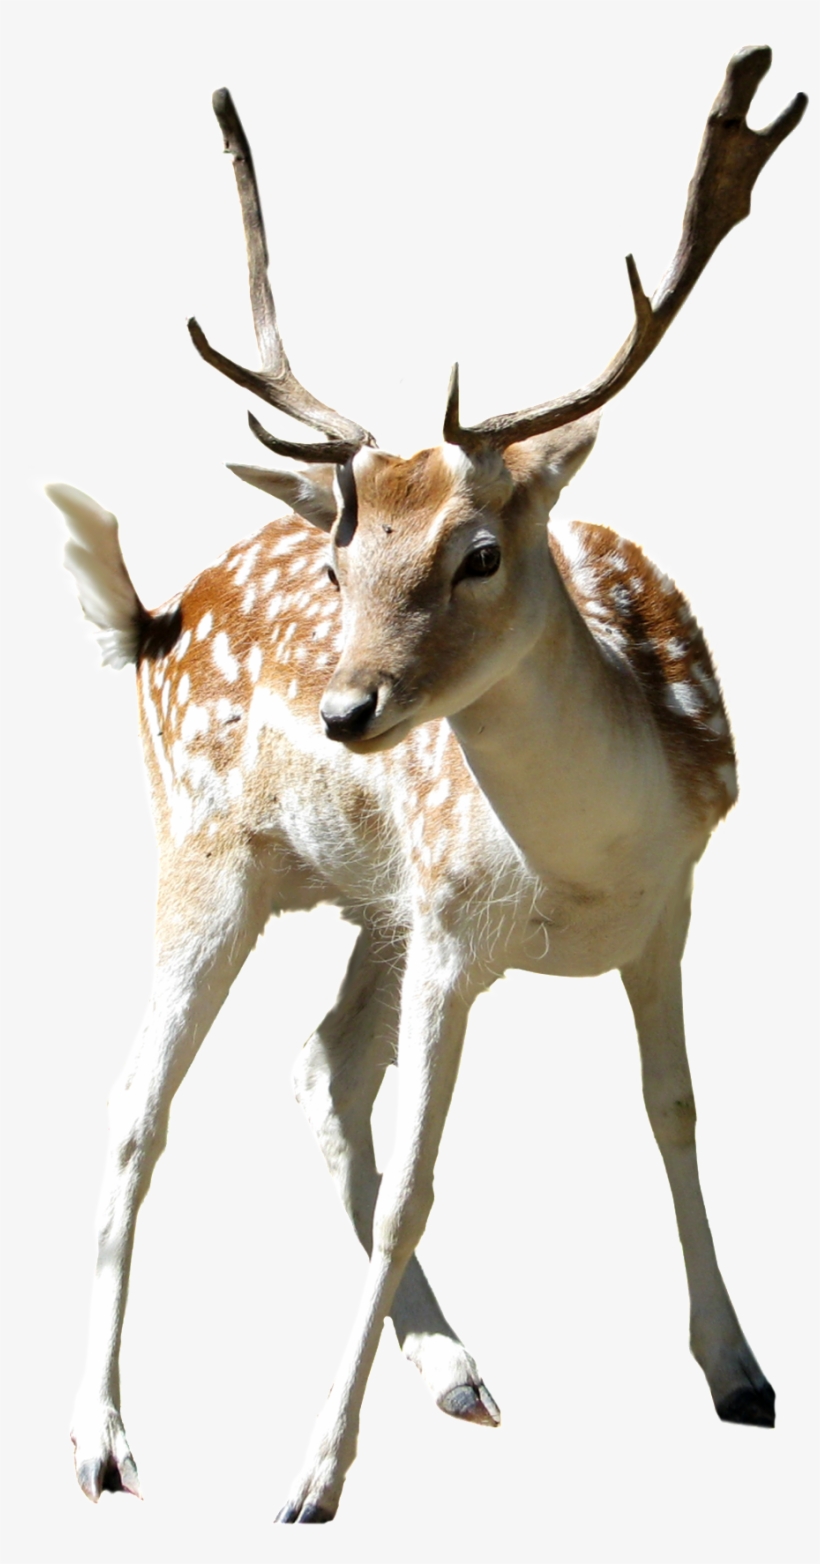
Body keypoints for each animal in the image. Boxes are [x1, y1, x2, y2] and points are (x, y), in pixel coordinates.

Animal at [47, 47, 806, 1523]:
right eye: (341, 564)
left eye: (479, 552)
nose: (346, 710)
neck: (583, 867)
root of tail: (156, 617)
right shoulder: (455, 931)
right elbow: (415, 1184)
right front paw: (310, 1474)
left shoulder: (668, 907)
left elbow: (675, 1112)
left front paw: (741, 1371)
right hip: (210, 856)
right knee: (136, 1105)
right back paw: (102, 1442)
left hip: (369, 903)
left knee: (316, 1066)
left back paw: (453, 1367)